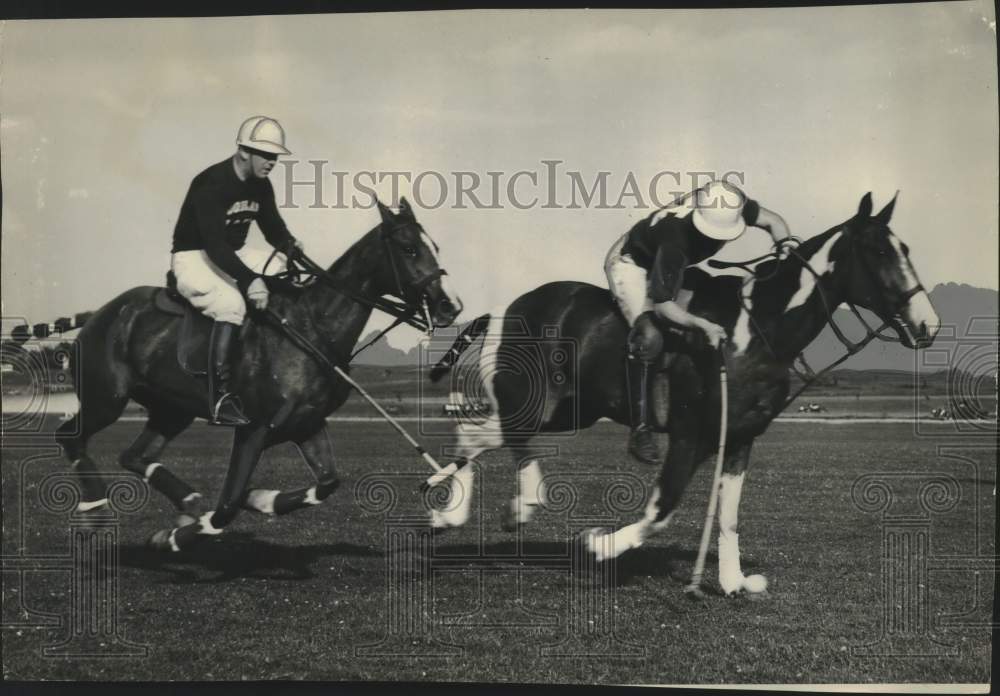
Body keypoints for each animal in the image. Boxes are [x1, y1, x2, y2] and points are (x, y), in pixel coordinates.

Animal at [53, 198, 460, 552]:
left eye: (437, 246)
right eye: (409, 249)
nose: (450, 306)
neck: (313, 329)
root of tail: (96, 314)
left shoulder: (307, 424)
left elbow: (327, 482)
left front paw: (259, 498)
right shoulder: (254, 428)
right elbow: (227, 506)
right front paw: (171, 538)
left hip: (172, 409)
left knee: (134, 455)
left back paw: (188, 502)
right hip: (106, 398)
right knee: (70, 436)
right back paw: (95, 513)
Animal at [428, 193, 936, 596]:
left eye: (907, 249)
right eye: (877, 251)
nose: (929, 324)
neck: (759, 328)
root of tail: (500, 311)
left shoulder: (741, 437)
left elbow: (728, 514)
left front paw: (733, 582)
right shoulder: (689, 433)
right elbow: (663, 507)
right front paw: (599, 545)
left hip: (569, 410)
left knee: (475, 431)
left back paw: (456, 514)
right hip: (536, 401)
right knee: (495, 433)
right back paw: (517, 505)